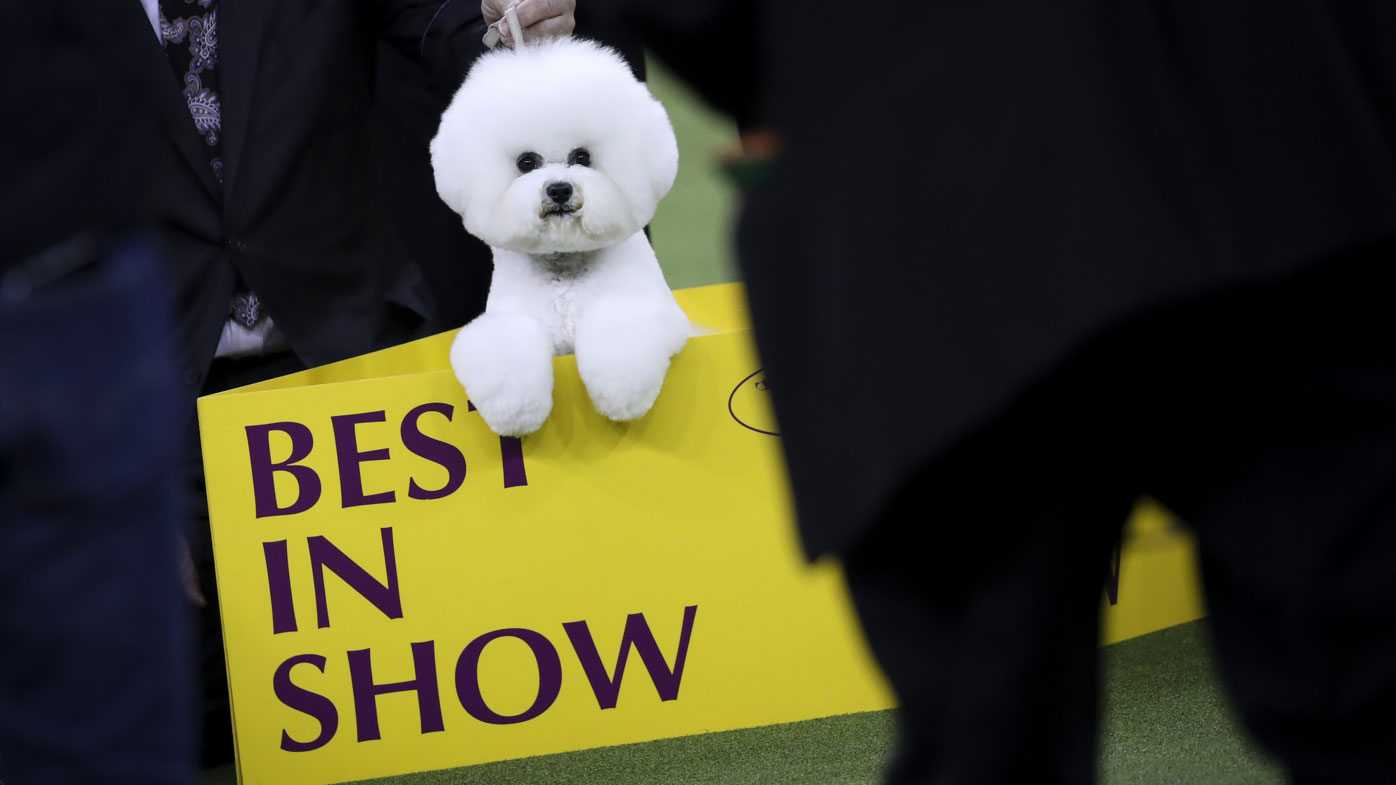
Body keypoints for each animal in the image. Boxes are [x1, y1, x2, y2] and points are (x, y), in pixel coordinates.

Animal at [424, 38, 686, 433]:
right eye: (527, 162)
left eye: (582, 157)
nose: (559, 190)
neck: (564, 266)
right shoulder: (509, 322)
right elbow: (503, 349)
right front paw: (516, 411)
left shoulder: (657, 315)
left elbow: (620, 330)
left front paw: (622, 396)